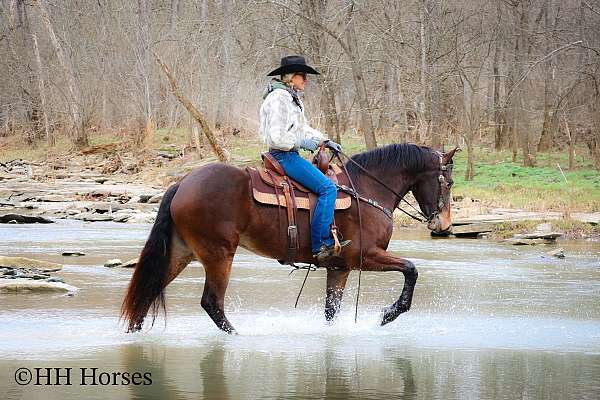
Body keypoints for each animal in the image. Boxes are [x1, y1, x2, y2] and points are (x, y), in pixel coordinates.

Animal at [123, 144, 460, 334]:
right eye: (449, 182)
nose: (444, 225)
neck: (366, 189)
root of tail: (182, 183)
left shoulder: (339, 267)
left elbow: (331, 311)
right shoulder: (366, 256)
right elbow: (411, 269)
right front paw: (389, 313)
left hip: (181, 253)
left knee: (149, 290)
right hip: (218, 254)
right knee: (212, 302)